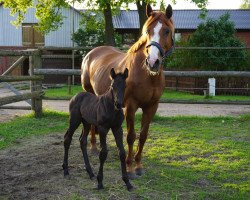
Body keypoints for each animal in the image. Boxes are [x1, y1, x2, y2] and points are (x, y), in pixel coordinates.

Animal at [81, 3, 175, 178]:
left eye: (166, 31)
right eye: (147, 31)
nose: (152, 62)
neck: (146, 74)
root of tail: (91, 53)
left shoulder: (152, 107)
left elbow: (143, 136)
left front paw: (138, 165)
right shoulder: (130, 106)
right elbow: (131, 136)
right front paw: (130, 167)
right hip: (89, 92)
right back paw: (93, 148)